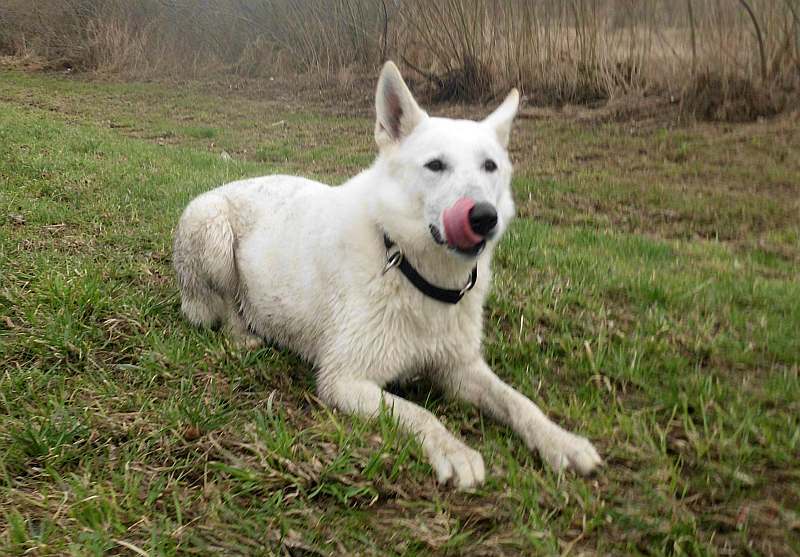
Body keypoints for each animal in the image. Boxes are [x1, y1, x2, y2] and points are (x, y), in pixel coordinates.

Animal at [173, 62, 600, 486]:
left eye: (490, 166)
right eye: (435, 165)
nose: (483, 217)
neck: (410, 267)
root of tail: (225, 184)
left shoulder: (461, 368)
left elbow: (517, 400)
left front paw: (560, 440)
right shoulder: (344, 380)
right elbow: (419, 414)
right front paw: (454, 450)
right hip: (213, 232)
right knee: (225, 308)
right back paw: (242, 335)